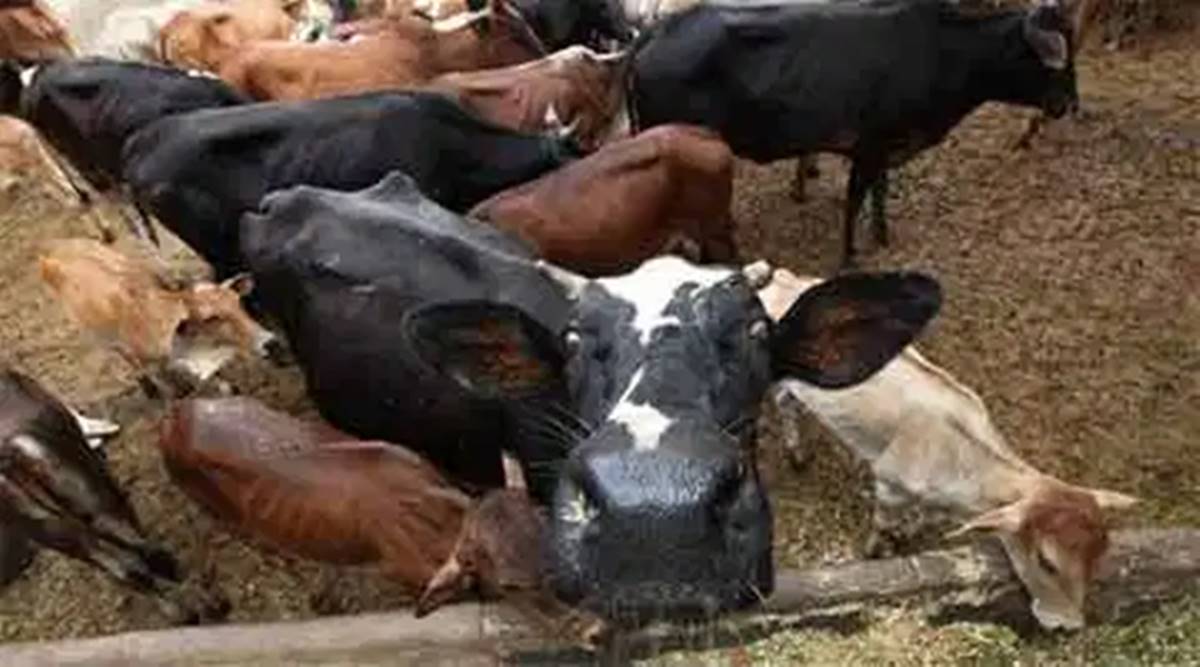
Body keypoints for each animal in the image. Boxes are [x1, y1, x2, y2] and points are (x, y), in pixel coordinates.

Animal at [0, 368, 227, 622]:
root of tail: (13, 455)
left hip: (51, 528)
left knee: (128, 568)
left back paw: (184, 610)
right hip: (97, 500)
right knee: (146, 552)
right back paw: (209, 604)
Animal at [39, 238, 280, 398]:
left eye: (238, 303)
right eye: (211, 318)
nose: (270, 342)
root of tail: (52, 254)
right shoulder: (150, 360)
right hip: (97, 337)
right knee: (123, 356)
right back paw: (148, 387)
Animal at [628, 0, 1080, 268]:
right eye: (1048, 58)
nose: (1067, 103)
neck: (941, 55)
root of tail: (655, 32)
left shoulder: (887, 149)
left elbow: (879, 192)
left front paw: (882, 235)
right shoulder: (868, 147)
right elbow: (854, 201)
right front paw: (849, 257)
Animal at [758, 265, 1138, 630]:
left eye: (1101, 552)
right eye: (1047, 561)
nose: (1068, 624)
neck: (958, 457)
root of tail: (782, 279)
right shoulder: (889, 485)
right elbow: (882, 525)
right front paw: (875, 552)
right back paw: (793, 452)